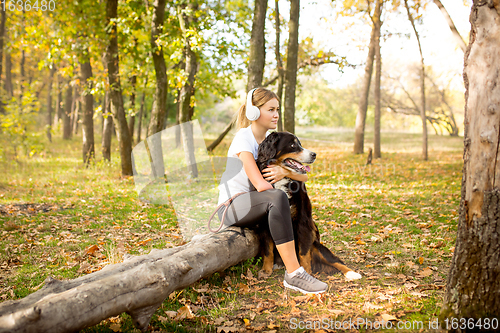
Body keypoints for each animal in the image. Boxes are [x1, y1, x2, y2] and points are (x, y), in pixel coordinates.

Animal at [252, 132, 362, 280]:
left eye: (300, 143)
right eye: (293, 145)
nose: (314, 154)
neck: (282, 180)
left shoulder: (302, 220)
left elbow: (303, 252)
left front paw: (305, 271)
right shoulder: (265, 222)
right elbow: (268, 250)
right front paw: (266, 270)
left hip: (317, 247)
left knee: (336, 261)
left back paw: (351, 273)